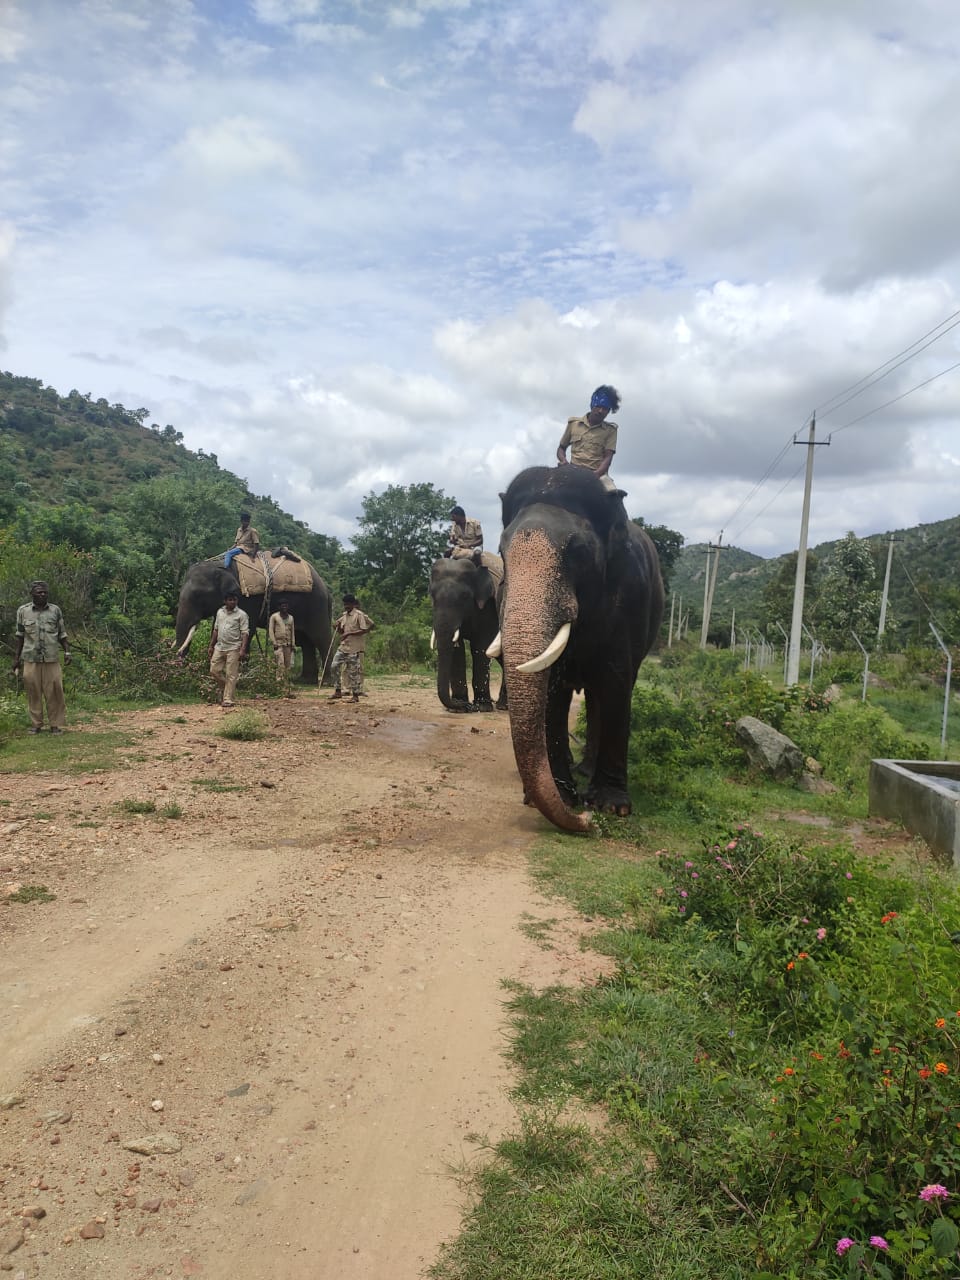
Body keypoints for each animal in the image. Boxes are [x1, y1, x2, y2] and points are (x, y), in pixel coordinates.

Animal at [172, 555, 335, 686]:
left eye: (198, 596)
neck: (221, 565)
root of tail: (326, 590)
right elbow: (217, 629)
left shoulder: (247, 599)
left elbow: (247, 630)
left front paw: (240, 676)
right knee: (306, 641)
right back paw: (304, 681)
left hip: (316, 605)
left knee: (320, 638)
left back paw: (326, 682)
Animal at [432, 550, 512, 711]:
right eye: (432, 595)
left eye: (464, 596)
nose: (468, 706)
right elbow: (457, 647)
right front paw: (458, 707)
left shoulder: (488, 606)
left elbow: (481, 646)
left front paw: (482, 707)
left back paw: (502, 706)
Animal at [496, 465, 660, 834]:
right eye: (500, 552)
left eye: (578, 552)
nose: (587, 822)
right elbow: (553, 692)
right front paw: (564, 796)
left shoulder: (629, 598)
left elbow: (616, 682)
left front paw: (611, 807)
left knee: (605, 693)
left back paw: (586, 772)